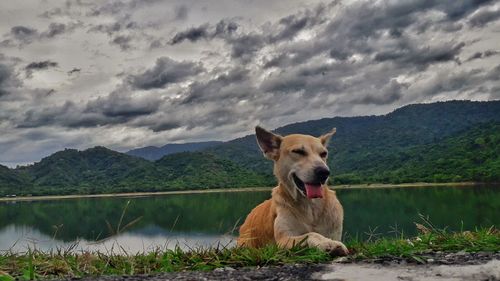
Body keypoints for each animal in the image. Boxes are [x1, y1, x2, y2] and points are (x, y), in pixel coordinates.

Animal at [237, 126, 348, 255]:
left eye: (324, 153)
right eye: (298, 151)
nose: (324, 172)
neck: (310, 207)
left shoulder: (334, 231)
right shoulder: (283, 240)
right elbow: (311, 234)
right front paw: (327, 243)